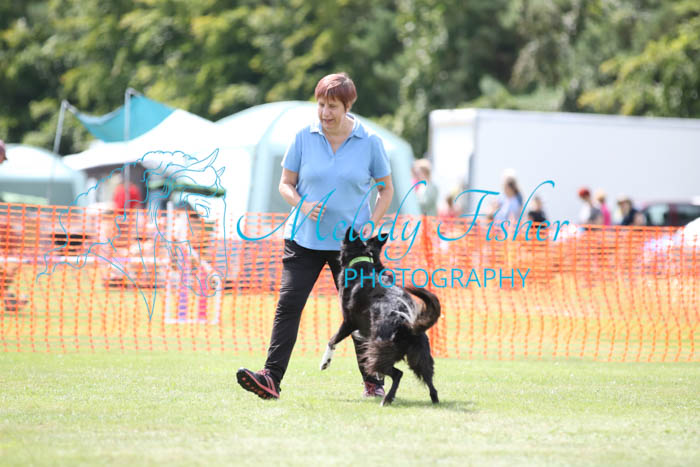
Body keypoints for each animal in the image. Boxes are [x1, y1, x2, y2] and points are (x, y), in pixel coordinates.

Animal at [320, 228, 441, 406]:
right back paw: (434, 400)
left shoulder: (348, 322)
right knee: (429, 379)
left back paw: (387, 399)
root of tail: (407, 326)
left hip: (379, 353)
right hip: (420, 356)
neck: (362, 263)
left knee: (397, 374)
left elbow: (332, 340)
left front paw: (325, 362)